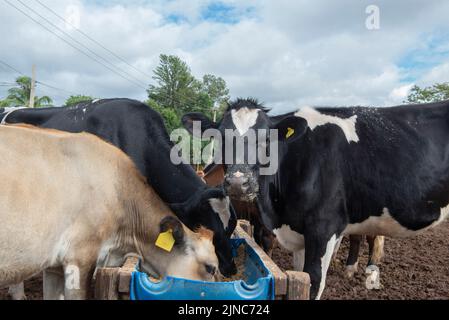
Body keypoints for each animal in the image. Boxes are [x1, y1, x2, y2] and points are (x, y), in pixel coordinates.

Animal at [181, 98, 448, 300]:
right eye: (219, 138)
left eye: (267, 139)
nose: (239, 182)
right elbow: (301, 275)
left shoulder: (324, 229)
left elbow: (315, 283)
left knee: (373, 239)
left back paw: (370, 275)